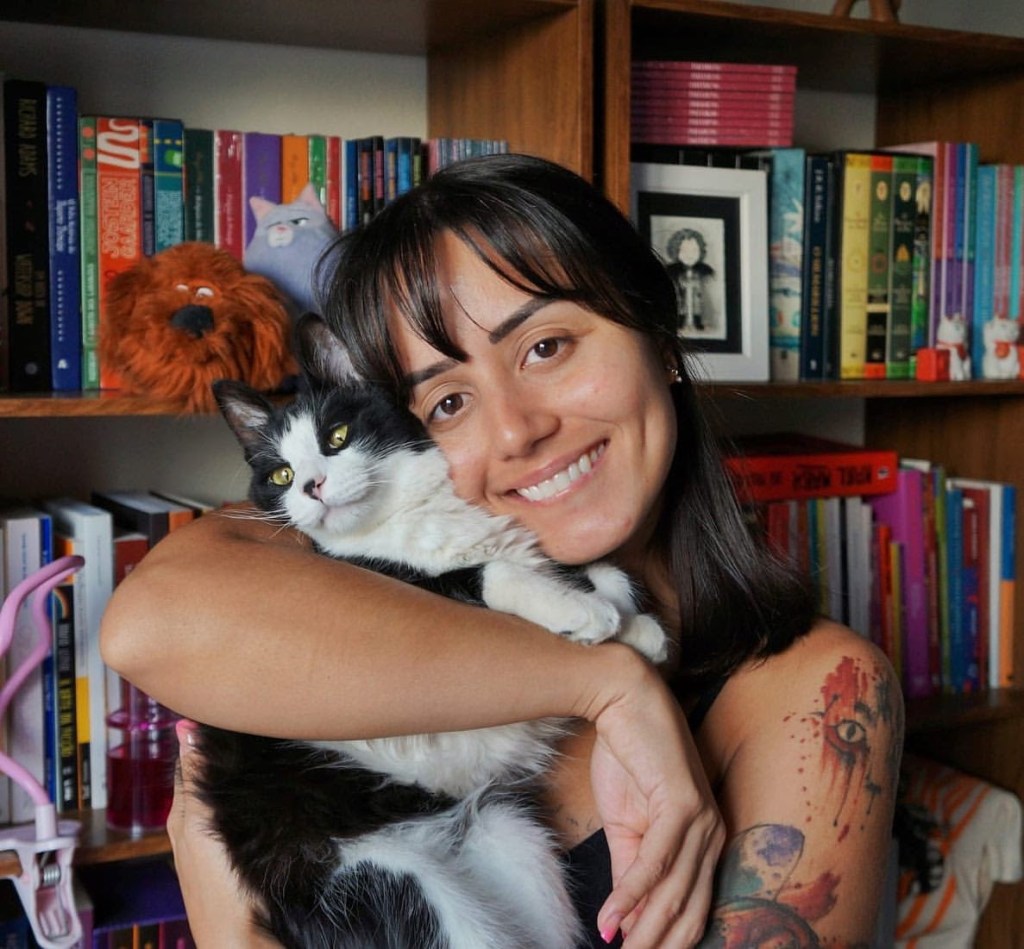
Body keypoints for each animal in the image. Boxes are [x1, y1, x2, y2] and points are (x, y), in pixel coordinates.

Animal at [197, 313, 669, 949]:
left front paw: (634, 625)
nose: (311, 487)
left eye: (337, 436)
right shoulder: (380, 584)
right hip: (377, 886)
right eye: (281, 474)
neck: (407, 519)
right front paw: (584, 613)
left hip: (506, 834)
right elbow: (483, 575)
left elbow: (596, 567)